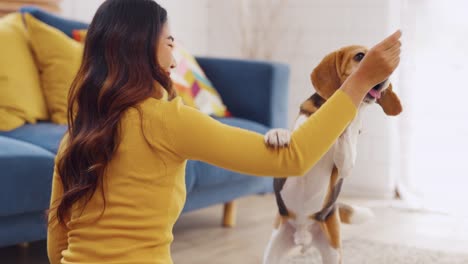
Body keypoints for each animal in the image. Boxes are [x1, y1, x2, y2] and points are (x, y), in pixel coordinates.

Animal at [264, 46, 402, 264]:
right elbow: (290, 135)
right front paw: (278, 134)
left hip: (333, 251)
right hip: (272, 250)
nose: (386, 76)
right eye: (360, 56)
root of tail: (303, 237)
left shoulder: (344, 165)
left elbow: (346, 148)